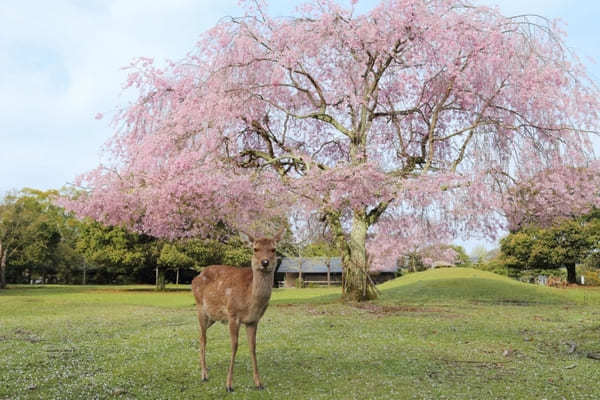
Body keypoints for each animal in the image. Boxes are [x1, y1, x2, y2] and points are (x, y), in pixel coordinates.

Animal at [192, 230, 284, 392]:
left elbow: (253, 347)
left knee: (199, 335)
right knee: (203, 338)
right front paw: (229, 385)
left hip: (213, 317)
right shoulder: (233, 315)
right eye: (255, 249)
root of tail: (194, 279)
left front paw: (259, 383)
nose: (265, 262)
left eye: (273, 249)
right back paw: (204, 375)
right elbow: (234, 346)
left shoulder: (253, 320)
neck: (250, 302)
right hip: (200, 308)